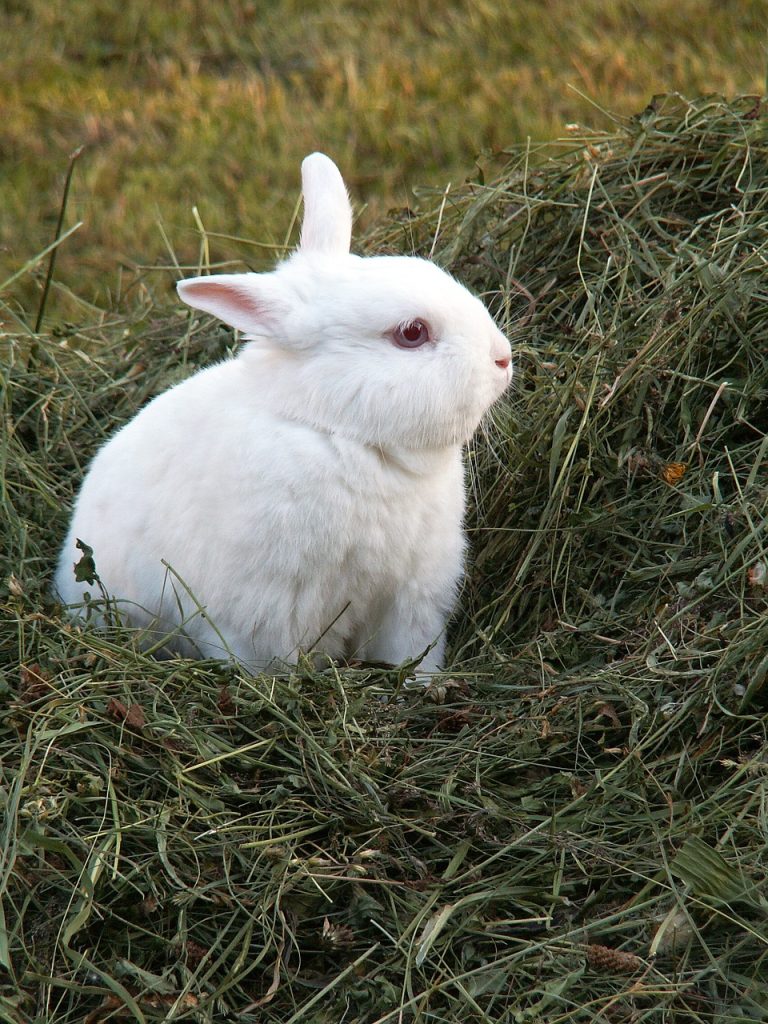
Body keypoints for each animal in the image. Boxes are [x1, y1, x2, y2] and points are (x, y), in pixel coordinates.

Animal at [54, 153, 512, 673]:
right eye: (412, 333)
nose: (503, 358)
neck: (344, 436)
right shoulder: (263, 612)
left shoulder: (411, 598)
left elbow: (410, 653)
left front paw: (423, 683)